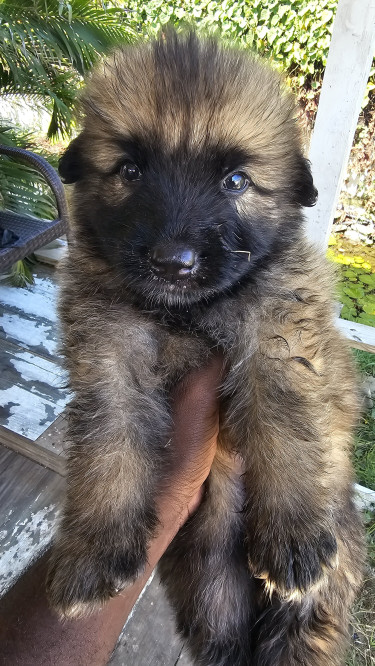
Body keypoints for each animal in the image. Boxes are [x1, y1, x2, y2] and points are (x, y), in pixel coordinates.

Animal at [46, 32, 364, 664]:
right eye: (130, 170)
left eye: (235, 181)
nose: (174, 262)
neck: (186, 312)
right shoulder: (108, 349)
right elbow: (108, 441)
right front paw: (93, 549)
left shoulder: (281, 330)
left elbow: (286, 417)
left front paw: (293, 531)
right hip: (212, 589)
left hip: (316, 596)